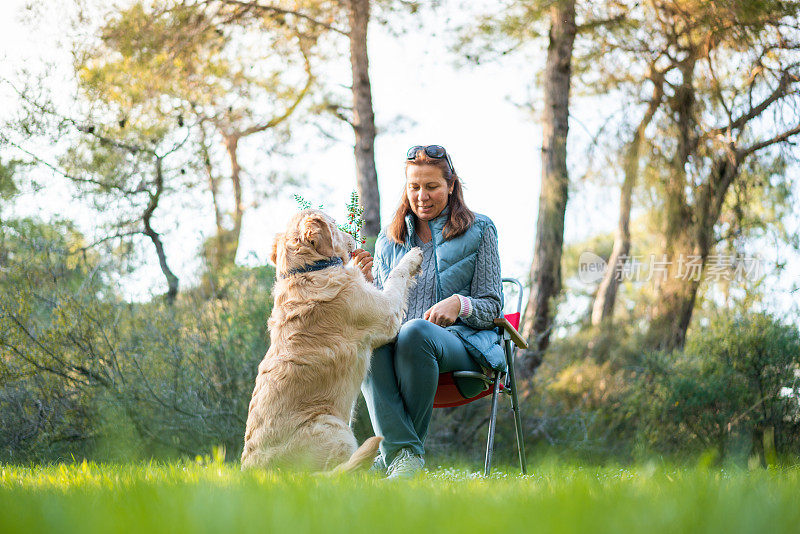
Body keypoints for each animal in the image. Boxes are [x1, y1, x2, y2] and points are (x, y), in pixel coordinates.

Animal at [239, 209, 422, 474]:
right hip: (337, 429)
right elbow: (397, 275)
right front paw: (413, 256)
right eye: (334, 223)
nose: (352, 238)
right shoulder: (386, 313)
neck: (308, 270)